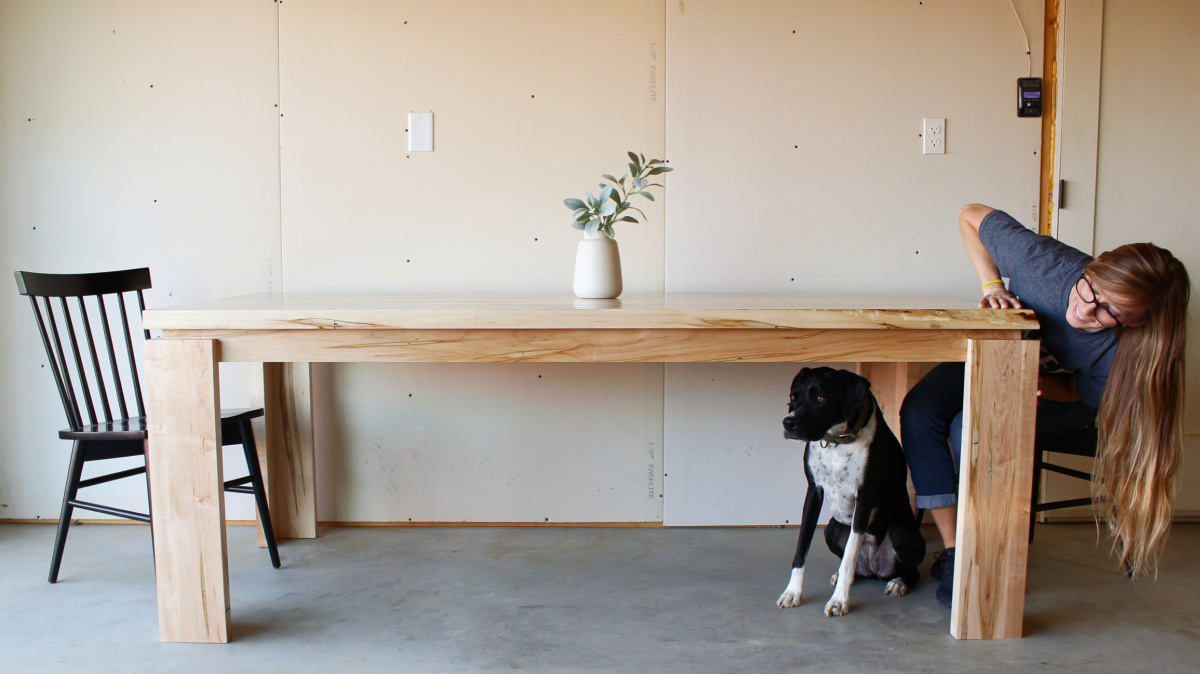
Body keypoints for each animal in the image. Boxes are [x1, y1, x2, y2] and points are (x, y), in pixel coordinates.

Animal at [777, 366, 926, 614]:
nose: (788, 423)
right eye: (793, 397)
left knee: (911, 572)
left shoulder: (864, 497)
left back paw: (898, 582)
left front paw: (839, 601)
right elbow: (801, 548)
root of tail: (874, 567)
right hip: (832, 528)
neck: (837, 440)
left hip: (900, 531)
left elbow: (848, 557)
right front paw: (792, 592)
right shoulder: (814, 492)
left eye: (820, 398)